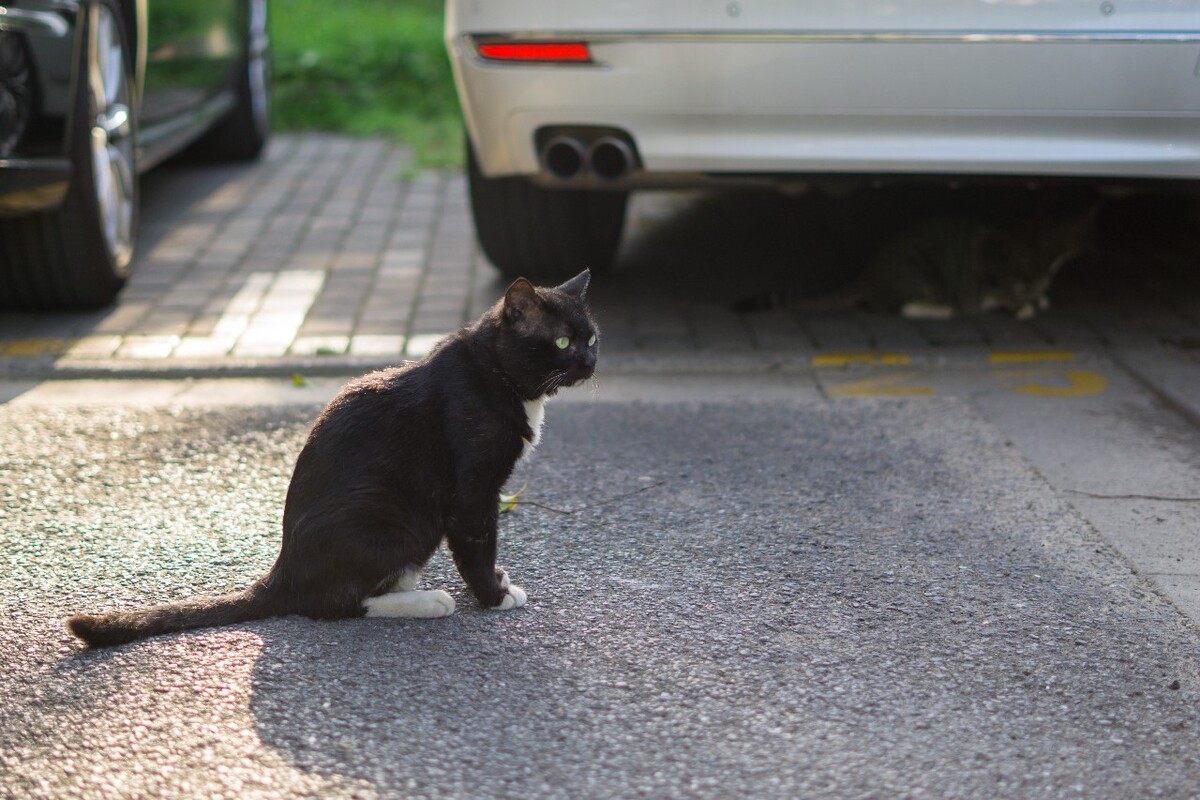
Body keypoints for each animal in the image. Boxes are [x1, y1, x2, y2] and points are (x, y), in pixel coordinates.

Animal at [65, 272, 600, 647]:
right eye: (561, 342)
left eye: (592, 338)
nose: (591, 361)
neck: (494, 373)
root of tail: (282, 572)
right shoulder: (473, 491)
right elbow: (477, 547)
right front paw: (494, 596)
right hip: (399, 513)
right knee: (335, 604)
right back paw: (431, 601)